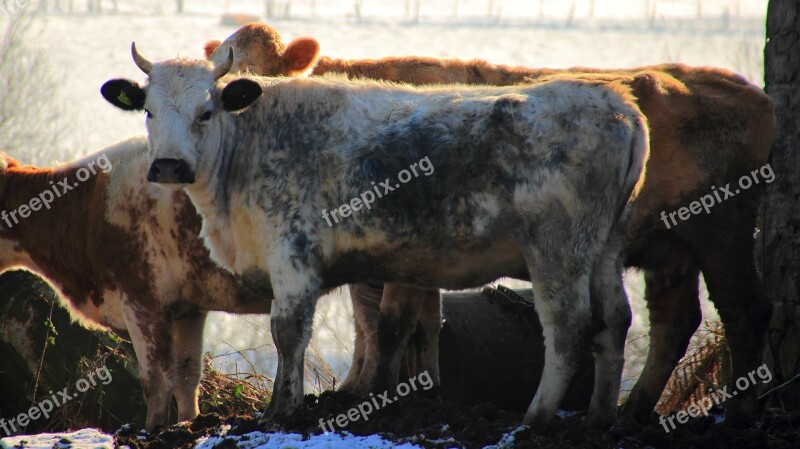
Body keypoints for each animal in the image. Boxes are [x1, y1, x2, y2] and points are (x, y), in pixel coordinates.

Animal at [0, 138, 272, 428]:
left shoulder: (143, 299)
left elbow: (156, 380)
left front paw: (153, 429)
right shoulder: (186, 309)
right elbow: (187, 376)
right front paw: (186, 423)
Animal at [101, 46, 648, 428]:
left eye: (206, 112)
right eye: (148, 111)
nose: (169, 166)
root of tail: (615, 102)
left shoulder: (293, 255)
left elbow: (288, 332)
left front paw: (282, 411)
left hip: (560, 251)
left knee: (568, 327)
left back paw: (535, 418)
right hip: (606, 248)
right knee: (614, 321)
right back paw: (599, 416)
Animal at [206, 21, 776, 428]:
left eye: (250, 81)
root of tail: (751, 92)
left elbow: (391, 324)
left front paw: (382, 395)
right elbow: (393, 323)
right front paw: (381, 391)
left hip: (718, 232)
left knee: (741, 311)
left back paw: (739, 412)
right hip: (666, 252)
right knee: (670, 321)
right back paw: (628, 413)